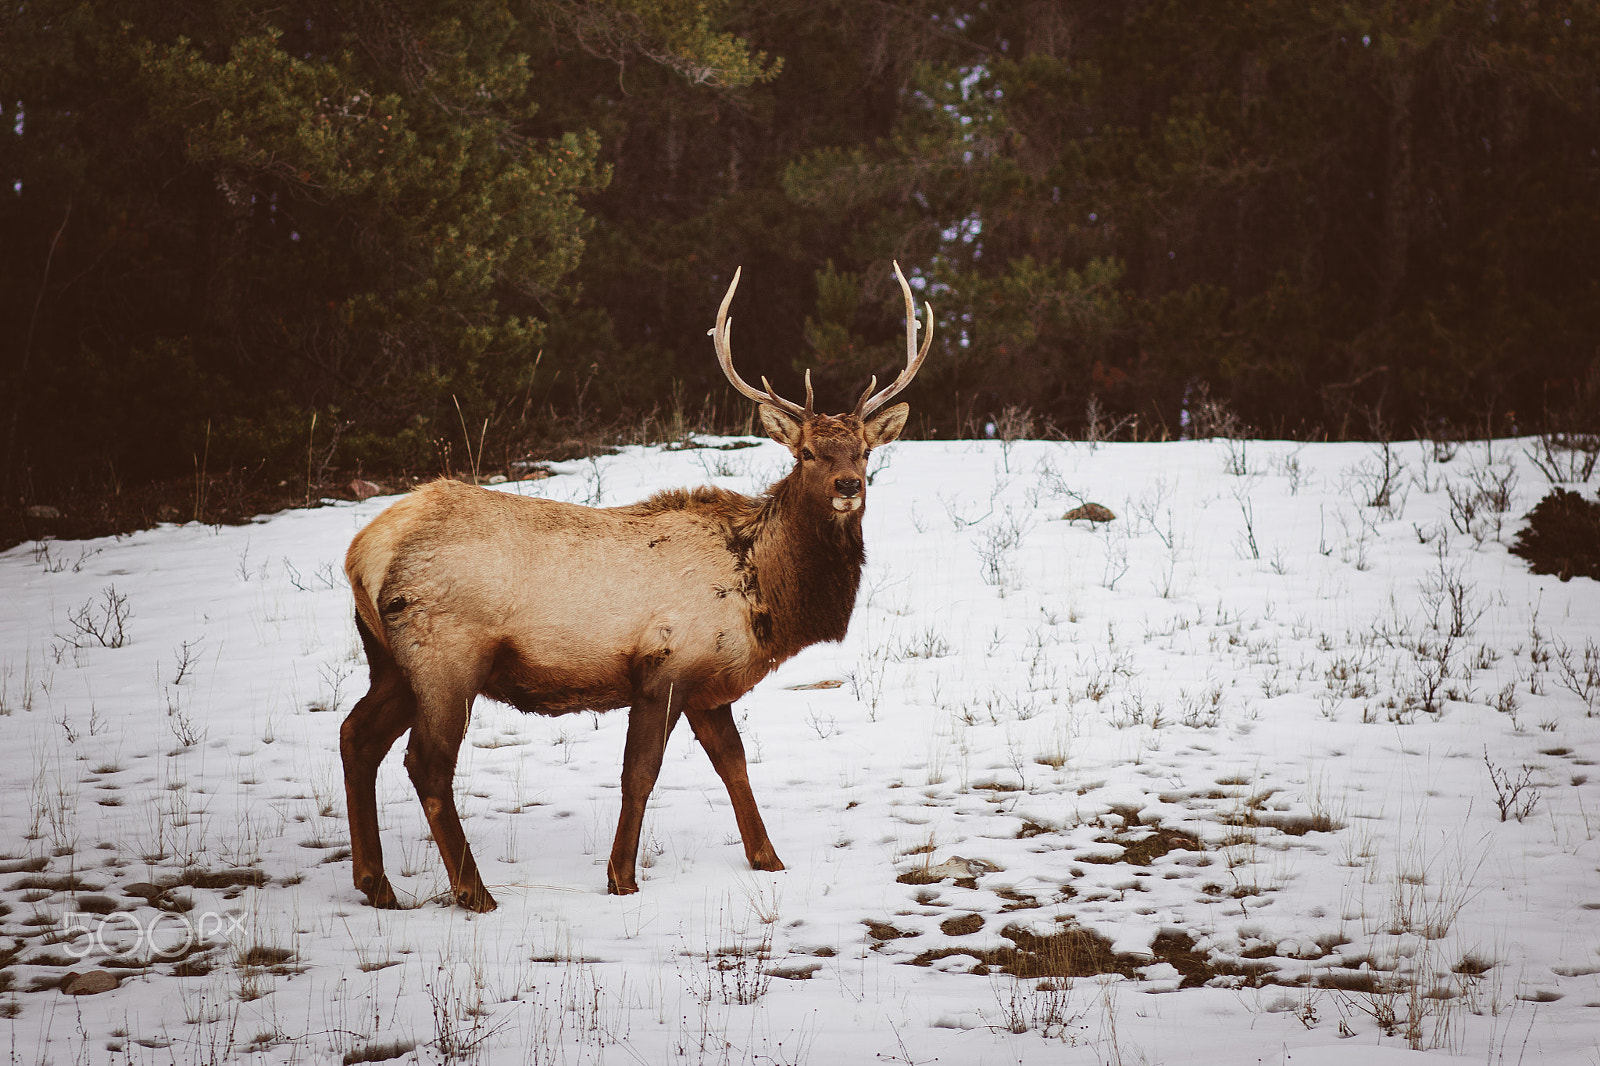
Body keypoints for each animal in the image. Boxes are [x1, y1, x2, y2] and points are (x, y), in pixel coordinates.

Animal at [340, 263, 933, 910]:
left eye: (864, 451)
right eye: (806, 454)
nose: (849, 485)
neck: (764, 594)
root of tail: (363, 551)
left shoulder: (708, 684)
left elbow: (735, 764)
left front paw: (768, 860)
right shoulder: (664, 668)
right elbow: (640, 773)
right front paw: (621, 877)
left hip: (391, 661)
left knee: (355, 736)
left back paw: (376, 884)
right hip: (445, 656)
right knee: (426, 763)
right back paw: (475, 891)